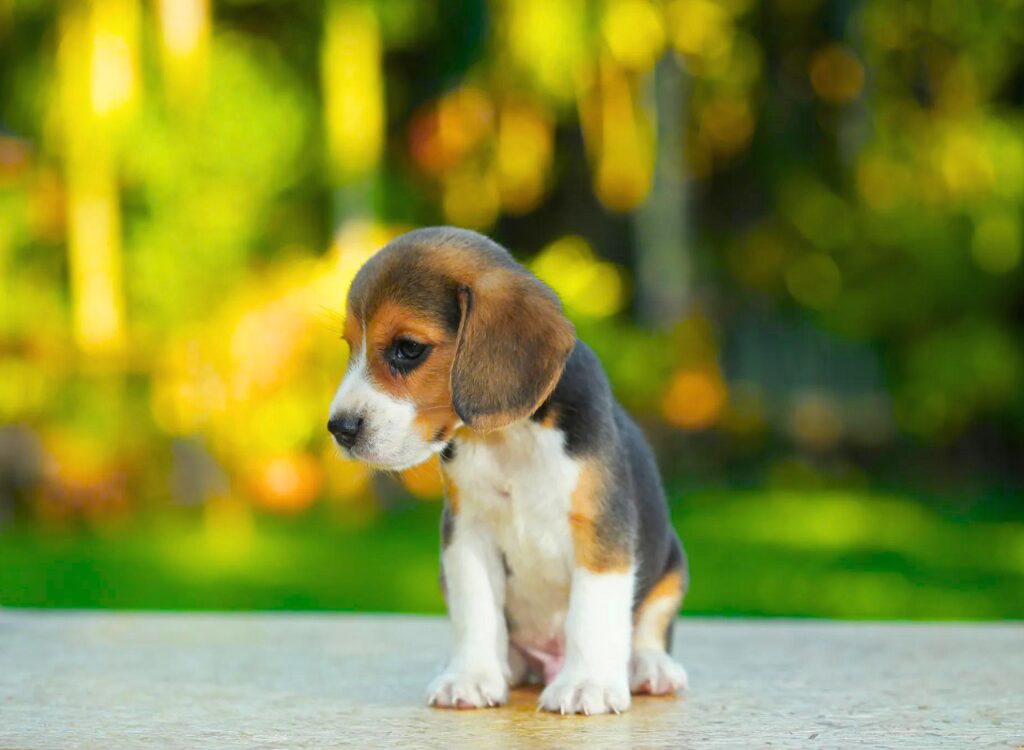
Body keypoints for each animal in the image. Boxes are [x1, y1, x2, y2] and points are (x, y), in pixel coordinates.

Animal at [327, 227, 688, 713]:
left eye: (408, 349)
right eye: (350, 346)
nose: (339, 428)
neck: (508, 438)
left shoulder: (601, 528)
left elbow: (592, 613)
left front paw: (586, 684)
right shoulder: (467, 533)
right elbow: (477, 610)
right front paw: (471, 676)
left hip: (672, 565)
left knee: (649, 627)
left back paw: (649, 667)